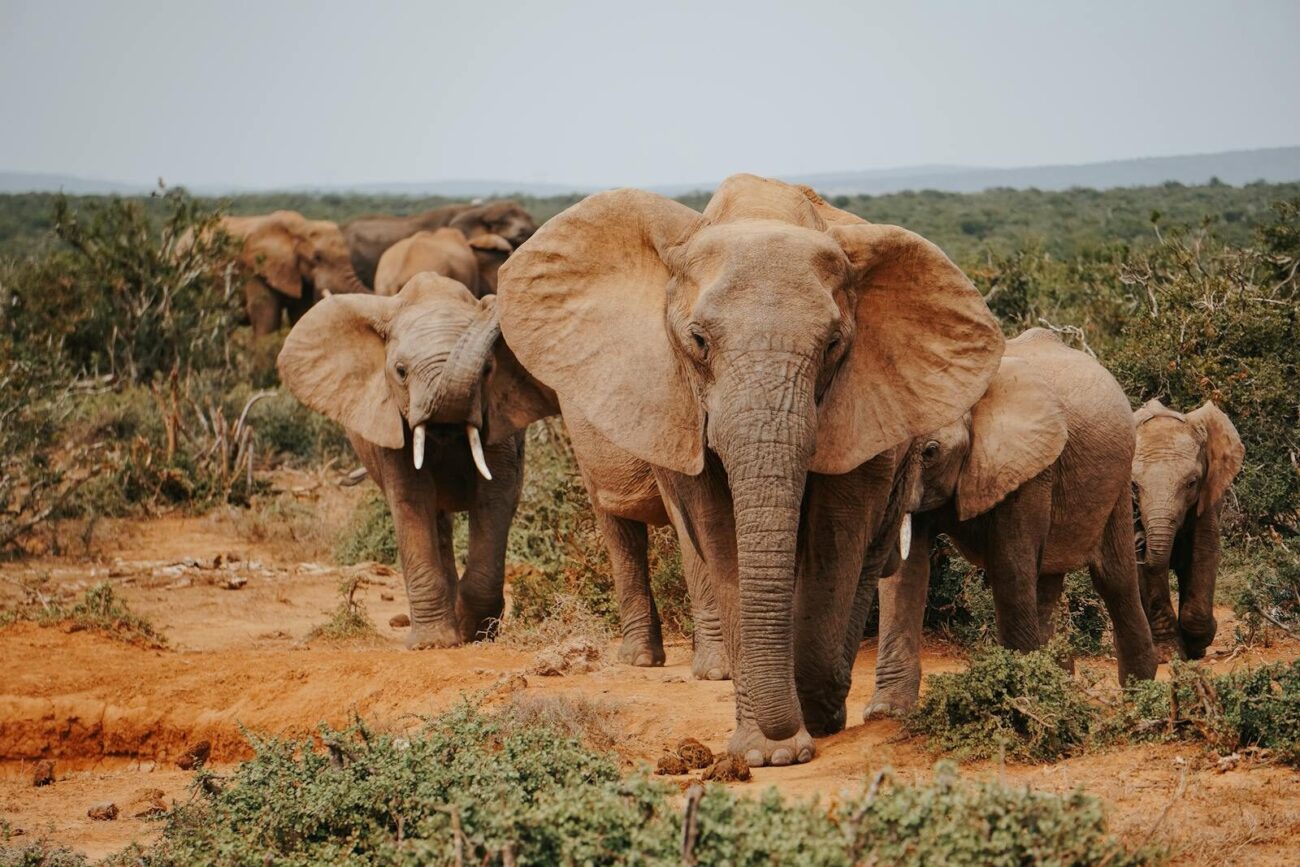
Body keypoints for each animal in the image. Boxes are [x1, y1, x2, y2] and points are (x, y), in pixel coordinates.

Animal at [278, 273, 556, 647]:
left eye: (488, 369)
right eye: (400, 371)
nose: (491, 303)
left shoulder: (498, 419)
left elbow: (494, 496)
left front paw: (474, 634)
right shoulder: (391, 422)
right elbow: (411, 498)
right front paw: (434, 643)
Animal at [498, 174, 1003, 765]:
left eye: (833, 345)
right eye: (698, 341)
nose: (793, 735)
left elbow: (837, 532)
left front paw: (806, 724)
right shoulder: (677, 398)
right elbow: (718, 536)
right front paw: (765, 751)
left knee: (871, 552)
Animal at [867, 329, 1159, 719]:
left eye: (930, 452)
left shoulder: (1028, 467)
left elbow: (1009, 566)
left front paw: (1017, 703)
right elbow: (905, 573)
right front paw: (886, 712)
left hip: (1118, 479)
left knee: (1114, 579)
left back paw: (1138, 692)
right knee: (1047, 582)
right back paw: (1060, 683)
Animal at [1132, 399, 1244, 660]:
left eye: (1192, 483)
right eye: (1134, 486)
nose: (1140, 540)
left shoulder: (1209, 492)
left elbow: (1205, 550)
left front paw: (1199, 643)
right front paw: (1169, 654)